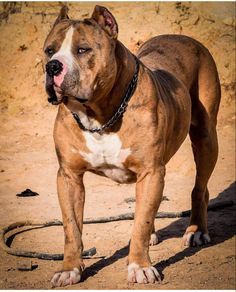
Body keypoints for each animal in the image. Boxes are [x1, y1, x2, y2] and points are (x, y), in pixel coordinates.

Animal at [42, 5, 221, 288]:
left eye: (82, 49)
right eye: (49, 50)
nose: (52, 66)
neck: (100, 116)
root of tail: (181, 36)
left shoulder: (151, 171)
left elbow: (141, 222)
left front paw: (140, 267)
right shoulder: (68, 176)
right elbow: (71, 228)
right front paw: (69, 269)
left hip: (205, 138)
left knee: (199, 189)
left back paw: (197, 231)